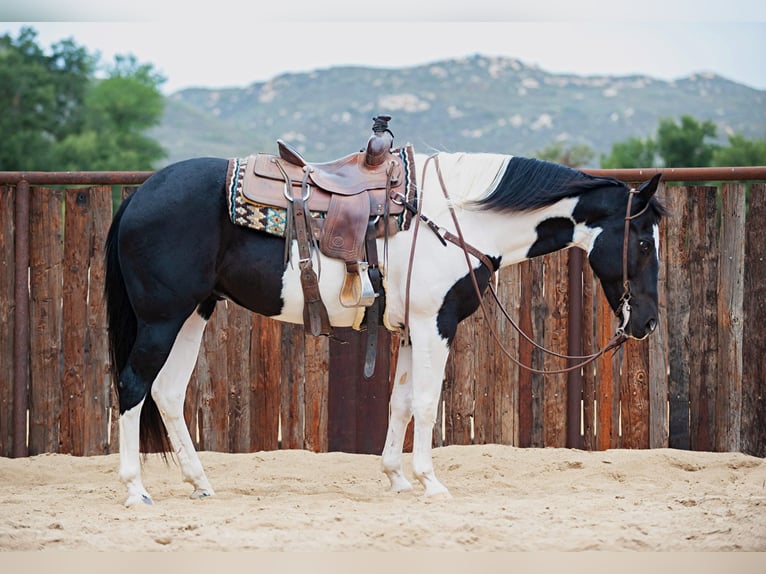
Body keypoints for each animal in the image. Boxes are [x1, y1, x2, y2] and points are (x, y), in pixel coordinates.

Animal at [103, 146, 664, 506]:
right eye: (642, 242)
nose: (647, 322)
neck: (456, 219)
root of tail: (139, 195)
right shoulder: (436, 322)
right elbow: (427, 402)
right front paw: (430, 482)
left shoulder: (414, 328)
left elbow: (400, 401)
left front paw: (396, 478)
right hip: (161, 318)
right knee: (133, 386)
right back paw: (134, 489)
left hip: (194, 312)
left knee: (167, 392)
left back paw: (199, 482)